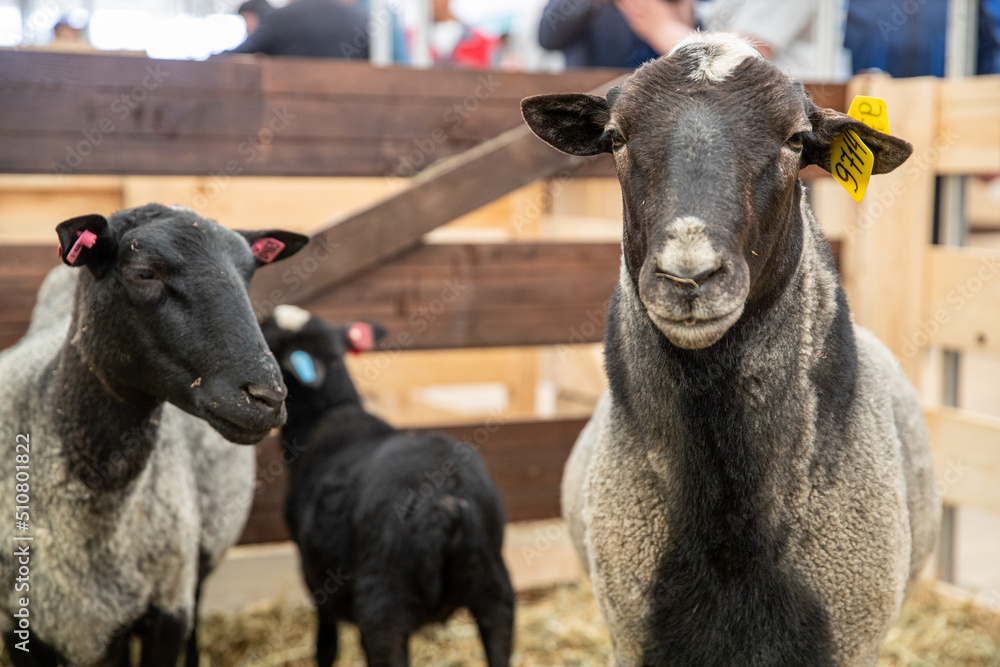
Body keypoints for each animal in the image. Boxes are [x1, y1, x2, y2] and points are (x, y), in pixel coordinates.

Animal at [261, 306, 514, 667]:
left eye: (268, 340)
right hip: (493, 586)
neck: (324, 416)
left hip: (384, 603)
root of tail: (443, 502)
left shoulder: (315, 576)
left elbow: (326, 643)